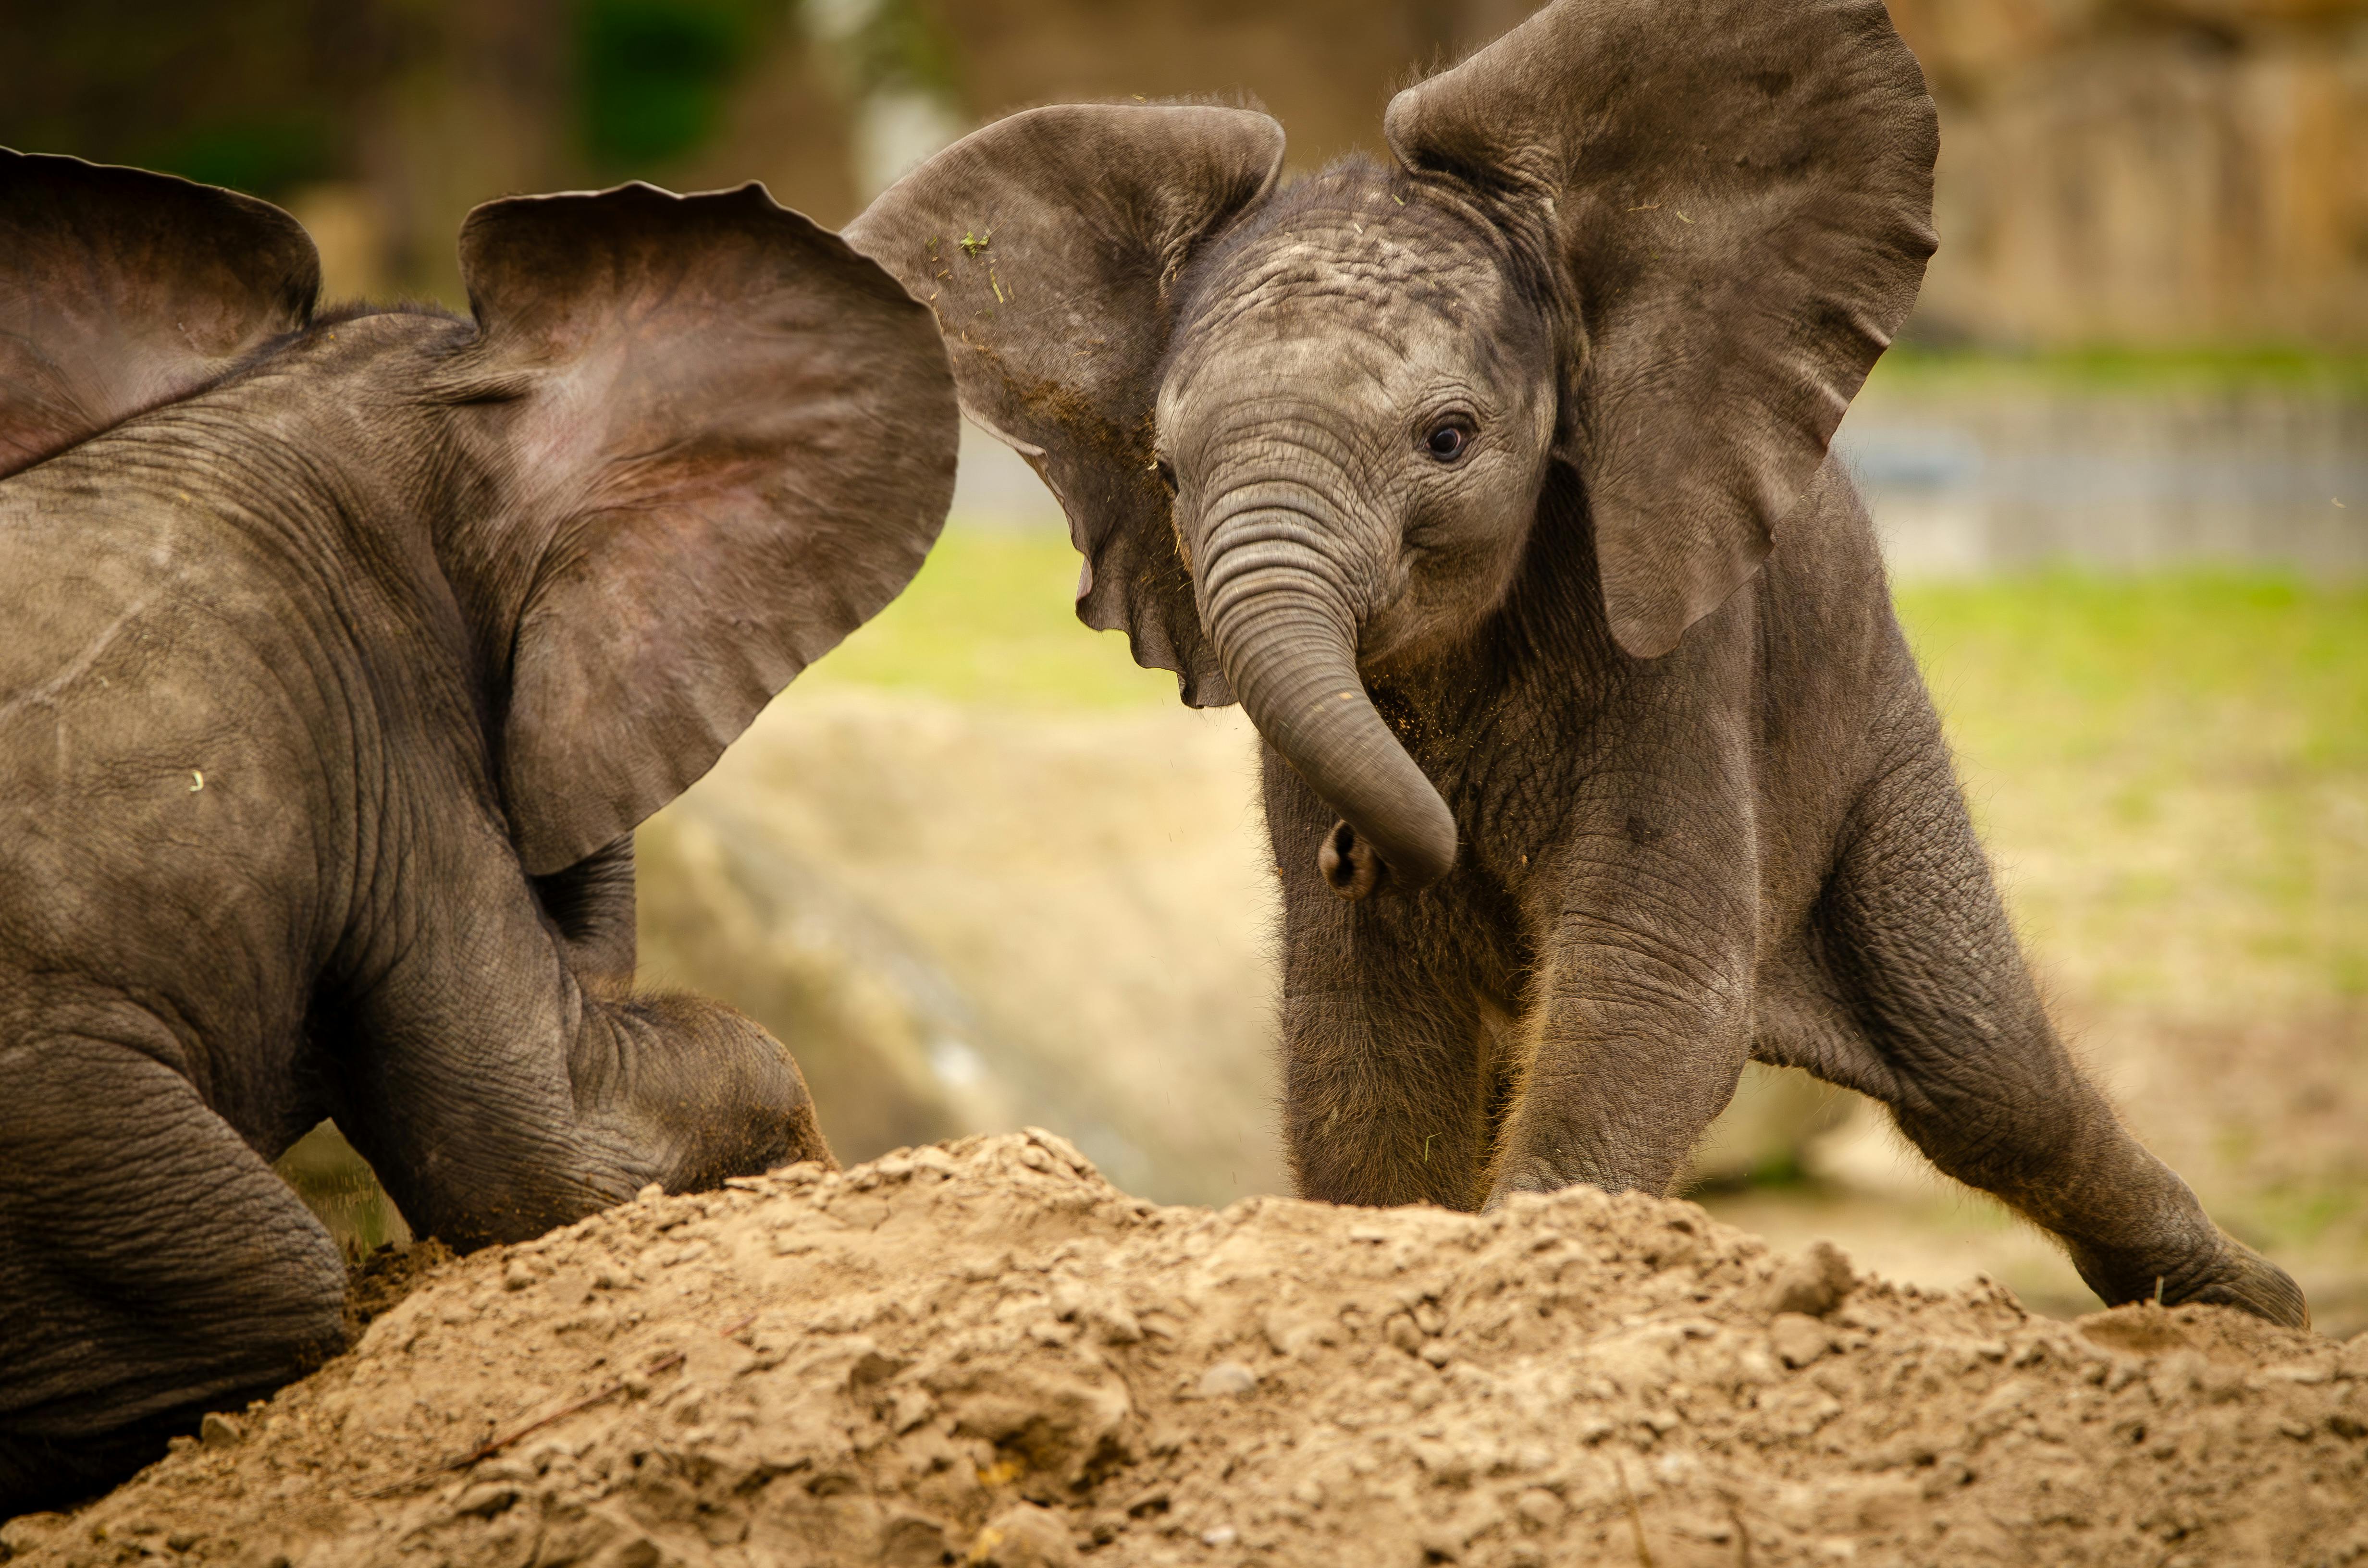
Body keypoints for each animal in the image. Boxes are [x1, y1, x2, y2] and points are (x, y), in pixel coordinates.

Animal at [847, 0, 2307, 1327]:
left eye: (1448, 439)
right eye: (1162, 471)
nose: (1371, 845)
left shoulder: (1677, 626)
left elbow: (1649, 966)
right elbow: (1362, 1016)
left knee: (1986, 1074)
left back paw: (2258, 1307)